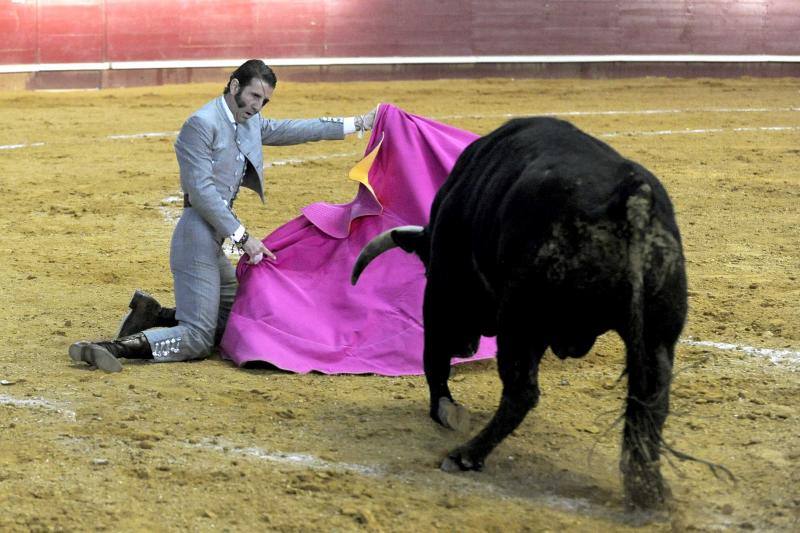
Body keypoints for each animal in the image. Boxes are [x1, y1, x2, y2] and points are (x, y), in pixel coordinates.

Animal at [350, 116, 688, 508]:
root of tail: (630, 196)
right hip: (656, 338)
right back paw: (649, 492)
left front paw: (445, 411)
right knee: (650, 405)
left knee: (521, 392)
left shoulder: (442, 287)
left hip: (520, 322)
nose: (465, 346)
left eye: (424, 266)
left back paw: (465, 455)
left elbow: (433, 358)